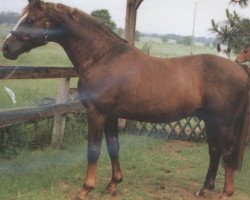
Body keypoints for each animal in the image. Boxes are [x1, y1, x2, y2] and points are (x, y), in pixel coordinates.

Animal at [1, 0, 250, 199]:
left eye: (30, 19)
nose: (6, 47)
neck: (102, 57)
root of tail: (239, 69)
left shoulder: (96, 113)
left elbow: (93, 149)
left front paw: (85, 189)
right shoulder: (111, 114)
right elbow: (113, 146)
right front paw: (114, 183)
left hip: (223, 122)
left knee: (227, 153)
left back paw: (226, 193)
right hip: (210, 121)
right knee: (215, 151)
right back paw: (204, 189)